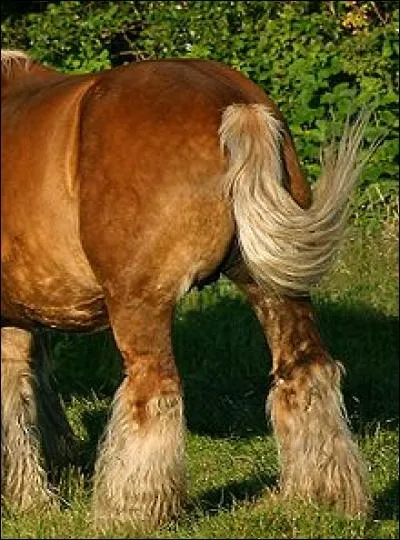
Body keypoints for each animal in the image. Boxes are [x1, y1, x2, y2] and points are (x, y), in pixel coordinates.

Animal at [0, 48, 370, 528]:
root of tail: (232, 103)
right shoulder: (21, 318)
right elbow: (24, 392)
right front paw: (33, 497)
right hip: (275, 287)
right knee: (307, 372)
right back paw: (321, 498)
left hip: (140, 303)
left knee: (153, 396)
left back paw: (127, 515)